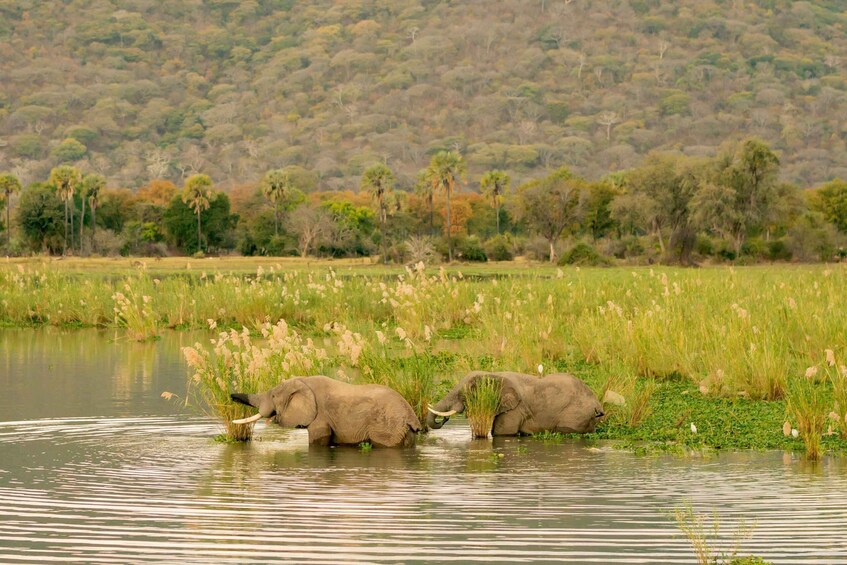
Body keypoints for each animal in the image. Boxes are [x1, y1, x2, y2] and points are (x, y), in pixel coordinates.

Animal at [231, 375, 421, 447]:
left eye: (273, 396)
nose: (231, 396)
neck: (304, 380)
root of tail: (411, 416)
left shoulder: (320, 417)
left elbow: (318, 439)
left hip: (387, 428)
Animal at [426, 371, 604, 436]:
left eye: (463, 395)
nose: (445, 420)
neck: (495, 375)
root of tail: (598, 404)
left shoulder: (516, 409)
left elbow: (502, 433)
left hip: (575, 414)